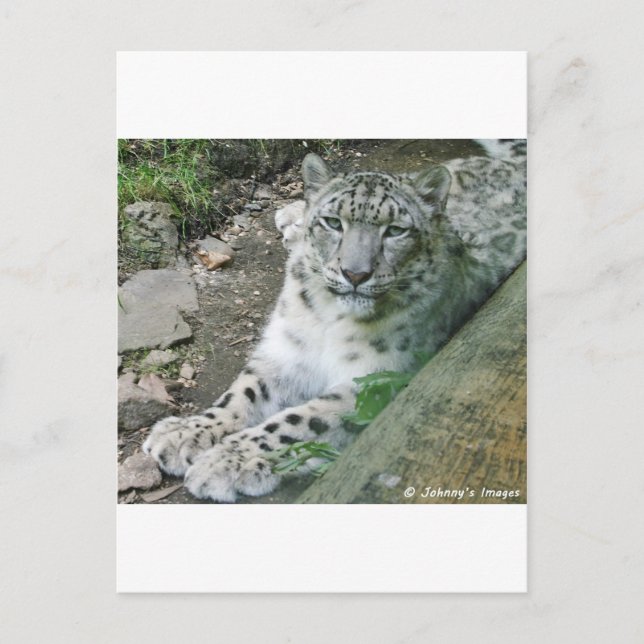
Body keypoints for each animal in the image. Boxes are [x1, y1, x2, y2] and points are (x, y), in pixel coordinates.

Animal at [143, 140, 527, 502]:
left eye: (396, 230)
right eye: (332, 222)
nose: (355, 274)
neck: (329, 318)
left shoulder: (373, 380)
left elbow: (299, 420)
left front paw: (227, 461)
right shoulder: (285, 352)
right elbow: (242, 392)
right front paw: (184, 433)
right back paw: (292, 215)